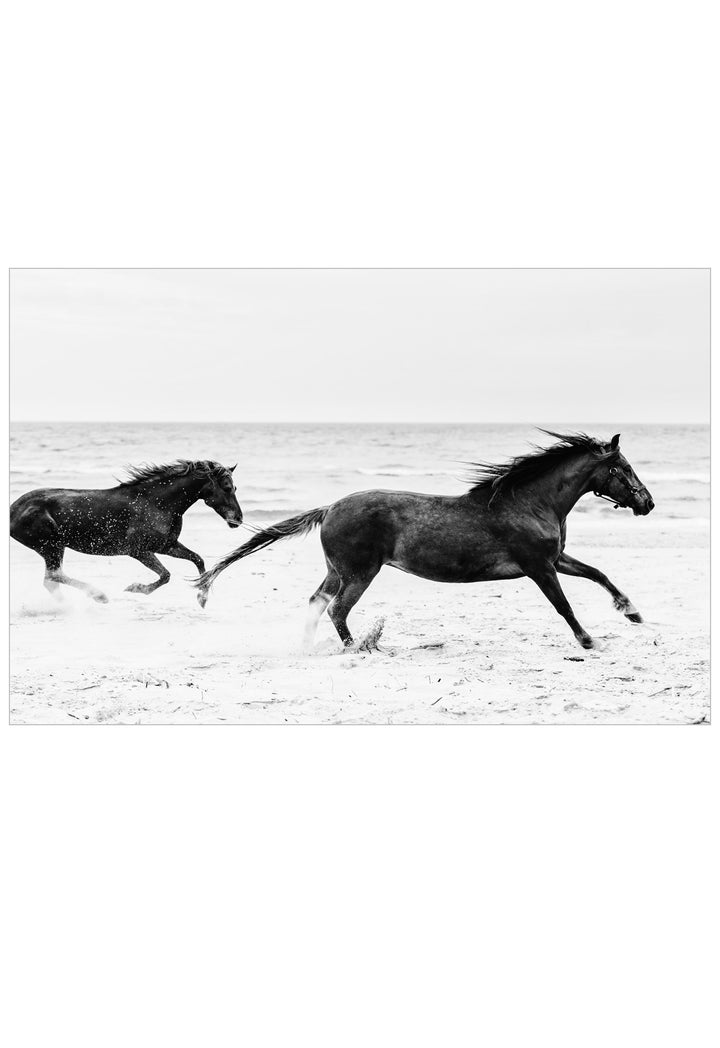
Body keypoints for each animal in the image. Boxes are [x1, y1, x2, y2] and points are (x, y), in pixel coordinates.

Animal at [10, 459, 243, 603]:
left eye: (234, 487)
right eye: (227, 487)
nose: (239, 519)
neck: (156, 503)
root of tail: (13, 509)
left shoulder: (166, 545)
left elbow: (198, 559)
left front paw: (202, 597)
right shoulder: (138, 550)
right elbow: (165, 575)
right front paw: (136, 588)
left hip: (52, 548)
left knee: (51, 580)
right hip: (52, 546)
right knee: (54, 576)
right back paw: (98, 596)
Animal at [194, 432, 654, 651]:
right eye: (625, 468)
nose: (648, 503)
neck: (528, 502)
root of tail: (329, 508)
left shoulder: (555, 559)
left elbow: (599, 573)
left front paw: (632, 612)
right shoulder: (538, 567)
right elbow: (564, 605)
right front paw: (588, 640)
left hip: (337, 571)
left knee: (317, 603)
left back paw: (310, 647)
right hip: (360, 573)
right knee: (338, 610)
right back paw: (359, 649)